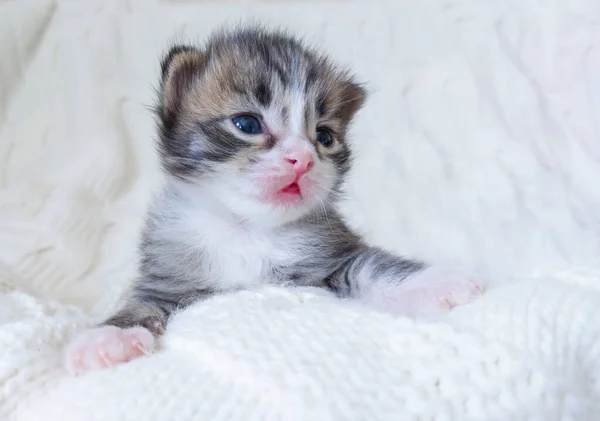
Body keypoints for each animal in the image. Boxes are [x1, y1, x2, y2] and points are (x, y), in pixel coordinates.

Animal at [63, 27, 482, 374]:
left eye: (324, 137)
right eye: (247, 124)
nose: (303, 159)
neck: (248, 230)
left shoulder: (331, 256)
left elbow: (374, 266)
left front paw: (437, 280)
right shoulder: (166, 278)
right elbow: (138, 304)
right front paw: (106, 338)